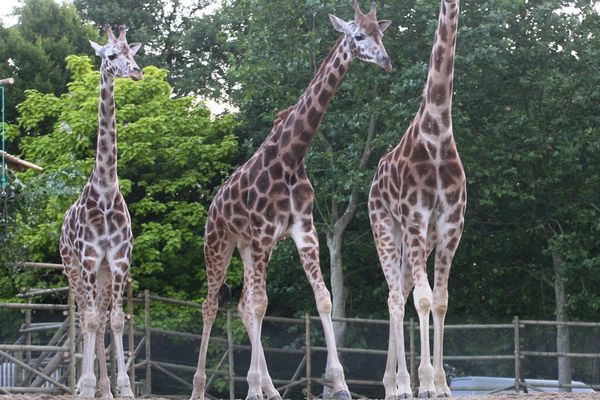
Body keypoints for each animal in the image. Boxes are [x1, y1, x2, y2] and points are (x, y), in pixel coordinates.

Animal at [188, 1, 392, 398]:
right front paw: (251, 388)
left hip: (247, 246)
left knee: (241, 304)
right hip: (219, 245)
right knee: (211, 304)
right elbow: (261, 304)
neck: (291, 156)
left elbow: (323, 297)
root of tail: (213, 207)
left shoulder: (304, 231)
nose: (386, 61)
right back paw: (200, 387)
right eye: (359, 35)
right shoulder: (265, 233)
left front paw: (340, 384)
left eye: (381, 34)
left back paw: (271, 388)